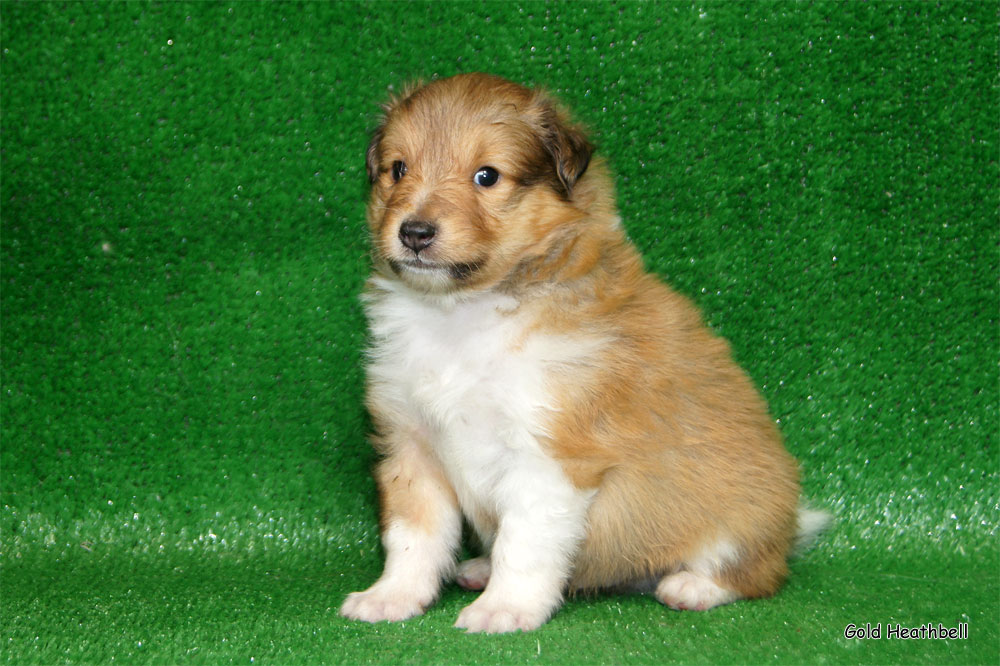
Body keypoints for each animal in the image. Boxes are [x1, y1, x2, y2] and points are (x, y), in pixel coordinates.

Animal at [340, 74, 824, 632]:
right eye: (398, 169)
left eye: (487, 176)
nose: (414, 232)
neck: (460, 314)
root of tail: (789, 525)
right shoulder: (412, 445)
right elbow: (412, 537)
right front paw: (391, 597)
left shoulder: (550, 456)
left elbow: (523, 544)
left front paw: (504, 610)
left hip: (740, 509)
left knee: (756, 573)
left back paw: (692, 586)